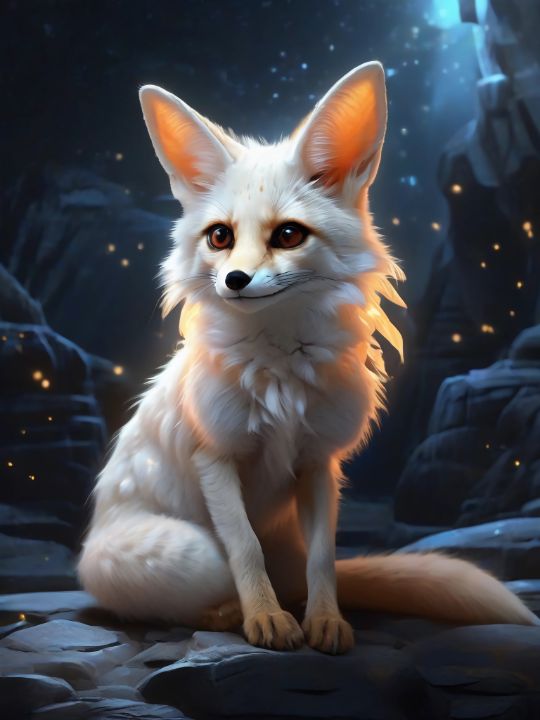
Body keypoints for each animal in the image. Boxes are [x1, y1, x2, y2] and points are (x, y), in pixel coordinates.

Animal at [78, 62, 538, 655]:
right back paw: (231, 613)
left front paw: (325, 622)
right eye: (220, 237)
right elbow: (245, 548)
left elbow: (326, 560)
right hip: (193, 550)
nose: (235, 280)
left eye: (289, 235)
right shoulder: (215, 459)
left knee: (297, 573)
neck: (280, 370)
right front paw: (266, 619)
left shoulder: (319, 463)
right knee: (198, 588)